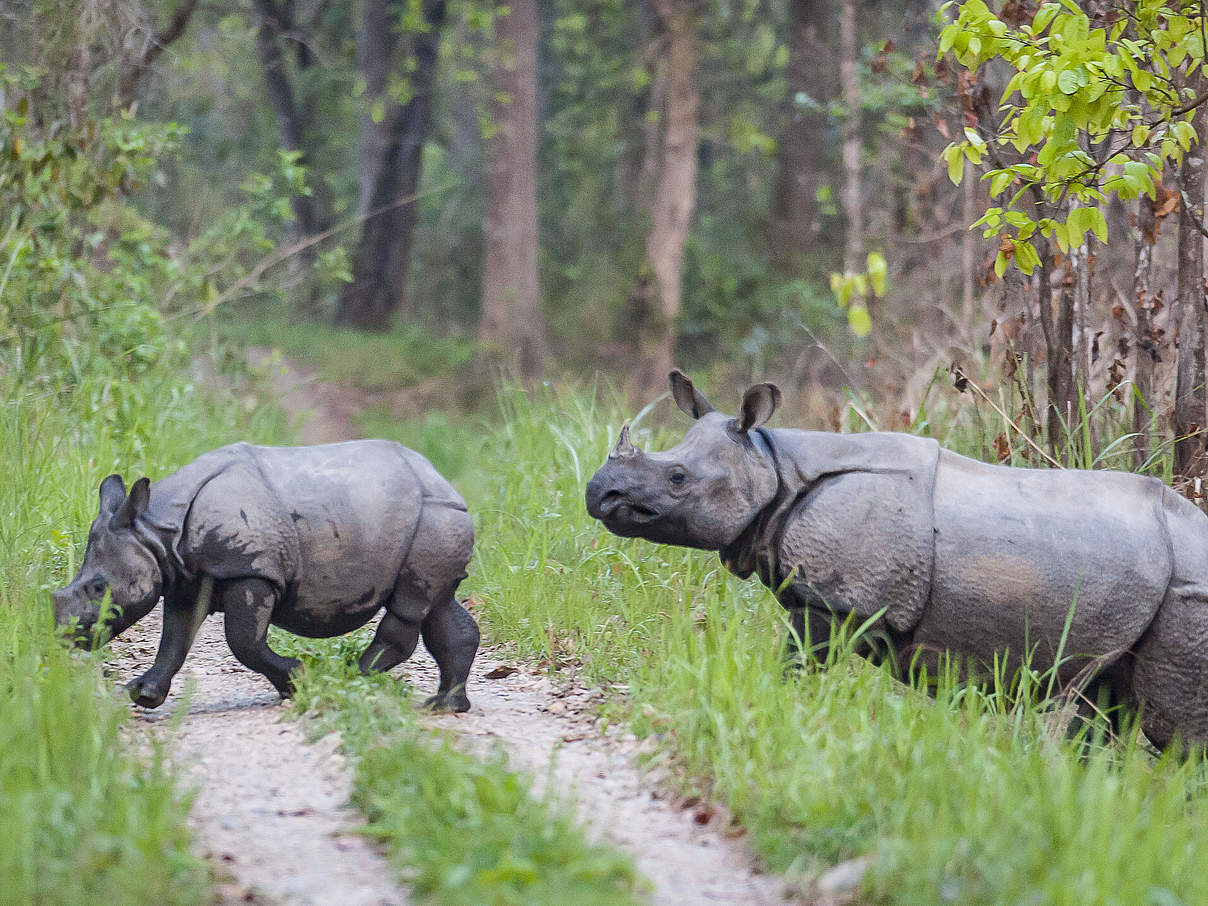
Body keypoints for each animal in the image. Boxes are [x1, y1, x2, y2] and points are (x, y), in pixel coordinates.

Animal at [56, 444, 480, 715]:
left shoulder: (252, 569)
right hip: (435, 521)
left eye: (98, 588)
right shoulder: (186, 578)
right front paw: (143, 695)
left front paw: (297, 681)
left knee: (411, 604)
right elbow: (175, 639)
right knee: (437, 604)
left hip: (434, 518)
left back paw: (346, 678)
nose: (64, 635)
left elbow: (242, 641)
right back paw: (445, 706)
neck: (157, 530)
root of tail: (445, 482)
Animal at [587, 369, 1208, 753]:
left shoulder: (834, 602)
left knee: (1173, 732)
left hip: (1190, 594)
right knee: (1107, 702)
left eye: (677, 478)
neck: (771, 461)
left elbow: (796, 667)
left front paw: (783, 711)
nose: (599, 494)